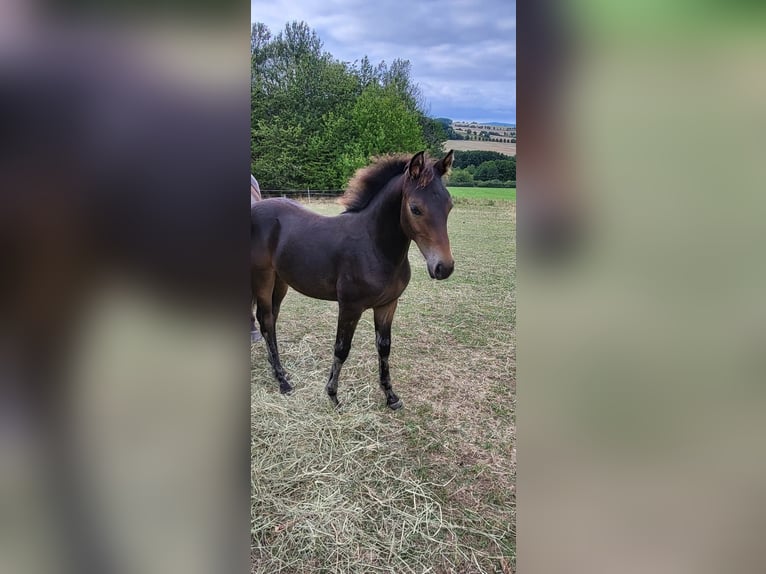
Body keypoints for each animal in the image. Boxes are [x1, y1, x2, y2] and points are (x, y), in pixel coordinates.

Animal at [251, 150, 455, 409]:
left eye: (449, 205)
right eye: (415, 208)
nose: (444, 267)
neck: (375, 247)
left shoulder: (388, 305)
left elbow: (384, 347)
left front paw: (391, 396)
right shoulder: (350, 307)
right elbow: (342, 348)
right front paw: (333, 395)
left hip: (281, 281)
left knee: (272, 320)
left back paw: (280, 371)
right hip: (263, 278)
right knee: (265, 320)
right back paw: (282, 381)